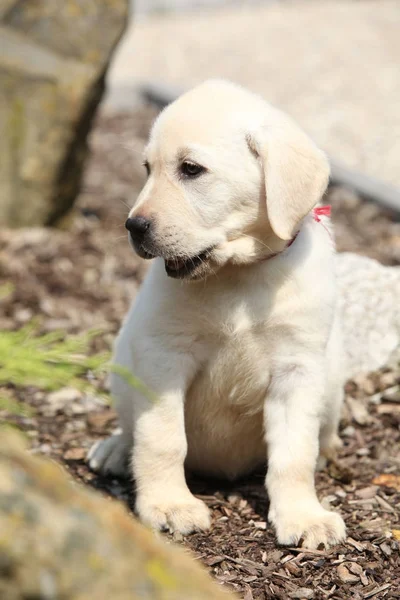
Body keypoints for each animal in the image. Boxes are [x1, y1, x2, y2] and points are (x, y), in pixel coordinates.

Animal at [89, 79, 346, 548]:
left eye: (191, 169)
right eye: (146, 168)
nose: (133, 227)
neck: (237, 273)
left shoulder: (297, 368)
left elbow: (294, 454)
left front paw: (303, 515)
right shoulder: (163, 354)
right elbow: (161, 438)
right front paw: (169, 504)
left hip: (333, 377)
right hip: (122, 363)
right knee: (131, 426)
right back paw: (115, 447)